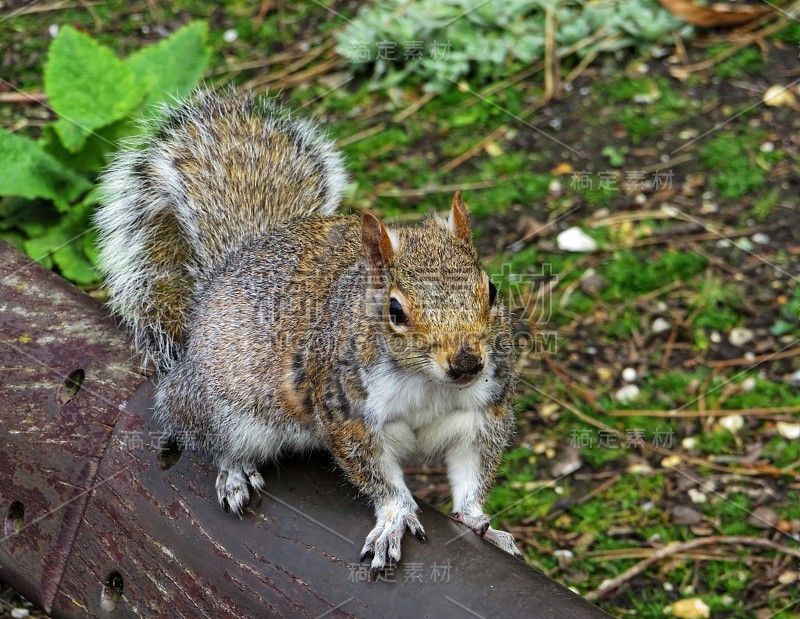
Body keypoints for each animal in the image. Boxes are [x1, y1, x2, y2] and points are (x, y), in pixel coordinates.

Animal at [94, 89, 520, 572]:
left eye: (491, 290)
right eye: (395, 310)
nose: (466, 363)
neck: (427, 383)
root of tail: (216, 284)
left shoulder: (483, 411)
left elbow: (473, 469)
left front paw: (477, 520)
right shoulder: (345, 411)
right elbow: (376, 475)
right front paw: (395, 517)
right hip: (223, 406)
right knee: (209, 435)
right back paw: (234, 471)